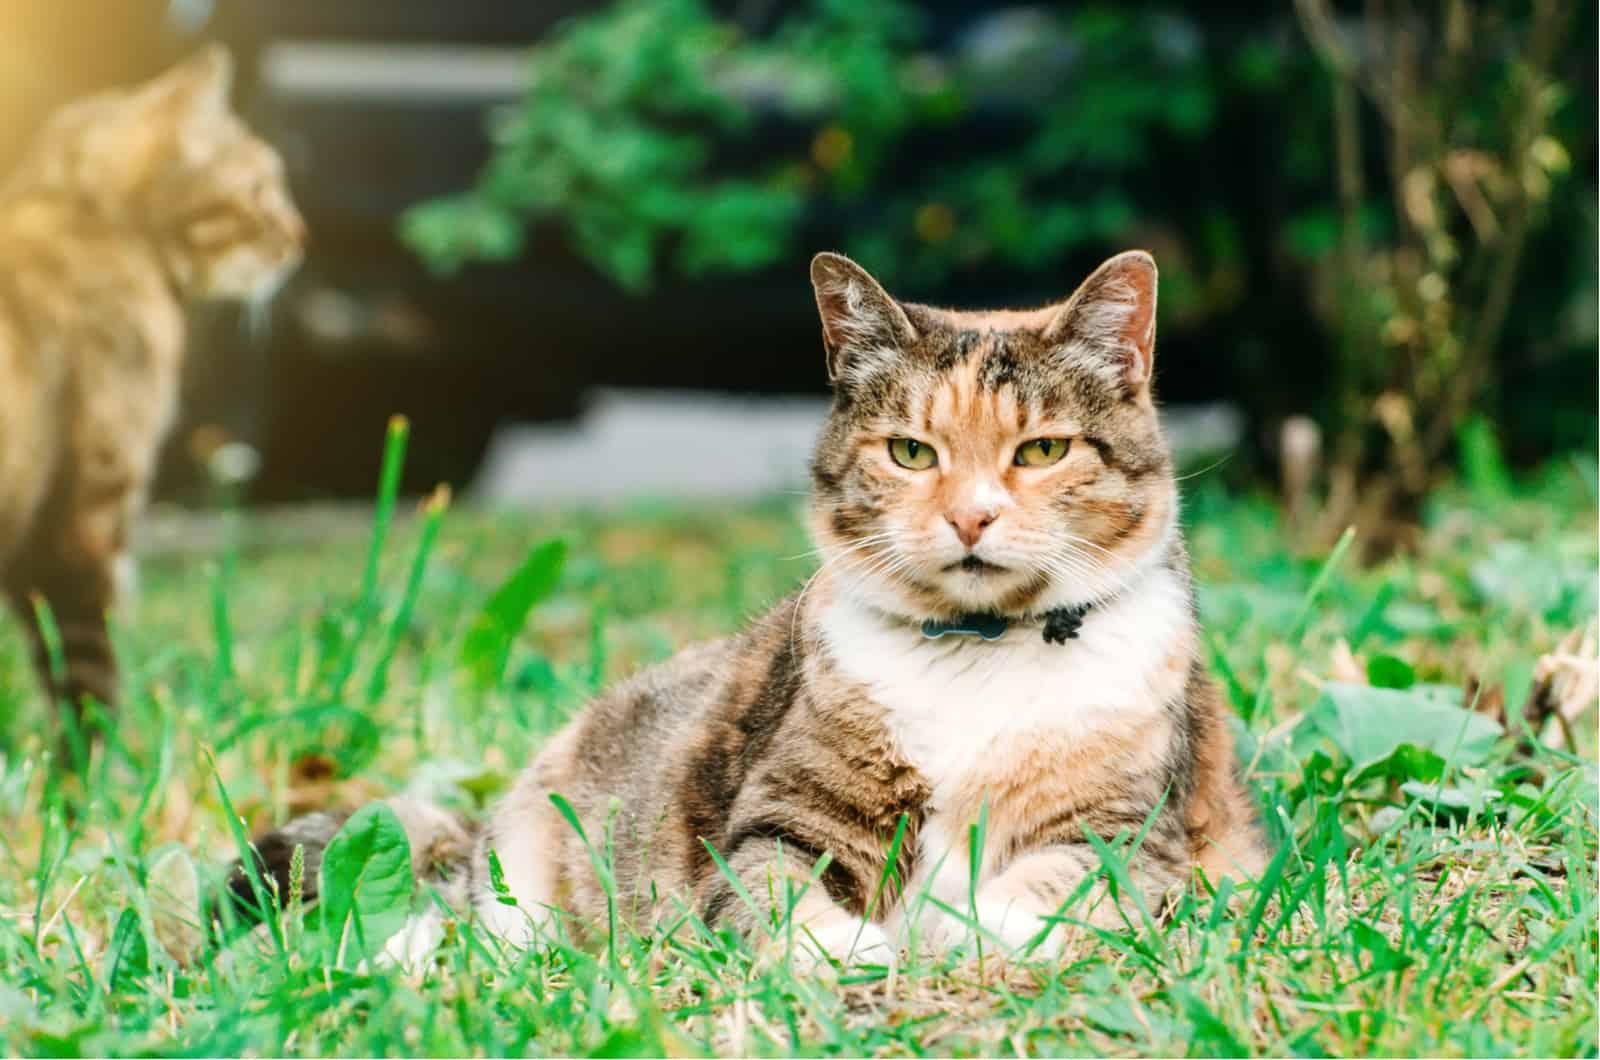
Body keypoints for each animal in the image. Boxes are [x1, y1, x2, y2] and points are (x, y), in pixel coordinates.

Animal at [233, 251, 1260, 973]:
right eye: (912, 452)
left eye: (1043, 450)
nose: (971, 515)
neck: (981, 650)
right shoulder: (783, 817)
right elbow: (776, 890)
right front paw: (851, 952)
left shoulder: (1130, 830)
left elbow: (1054, 886)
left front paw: (958, 932)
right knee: (467, 918)